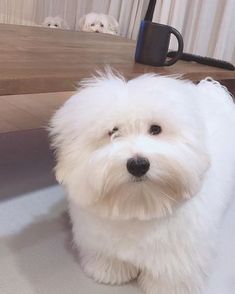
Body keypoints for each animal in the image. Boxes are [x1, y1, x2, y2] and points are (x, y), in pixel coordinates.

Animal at [49, 72, 235, 294]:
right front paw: (109, 271)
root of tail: (211, 89)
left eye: (156, 129)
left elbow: (172, 273)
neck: (140, 204)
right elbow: (109, 258)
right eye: (112, 132)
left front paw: (168, 287)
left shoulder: (179, 252)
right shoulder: (99, 238)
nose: (138, 165)